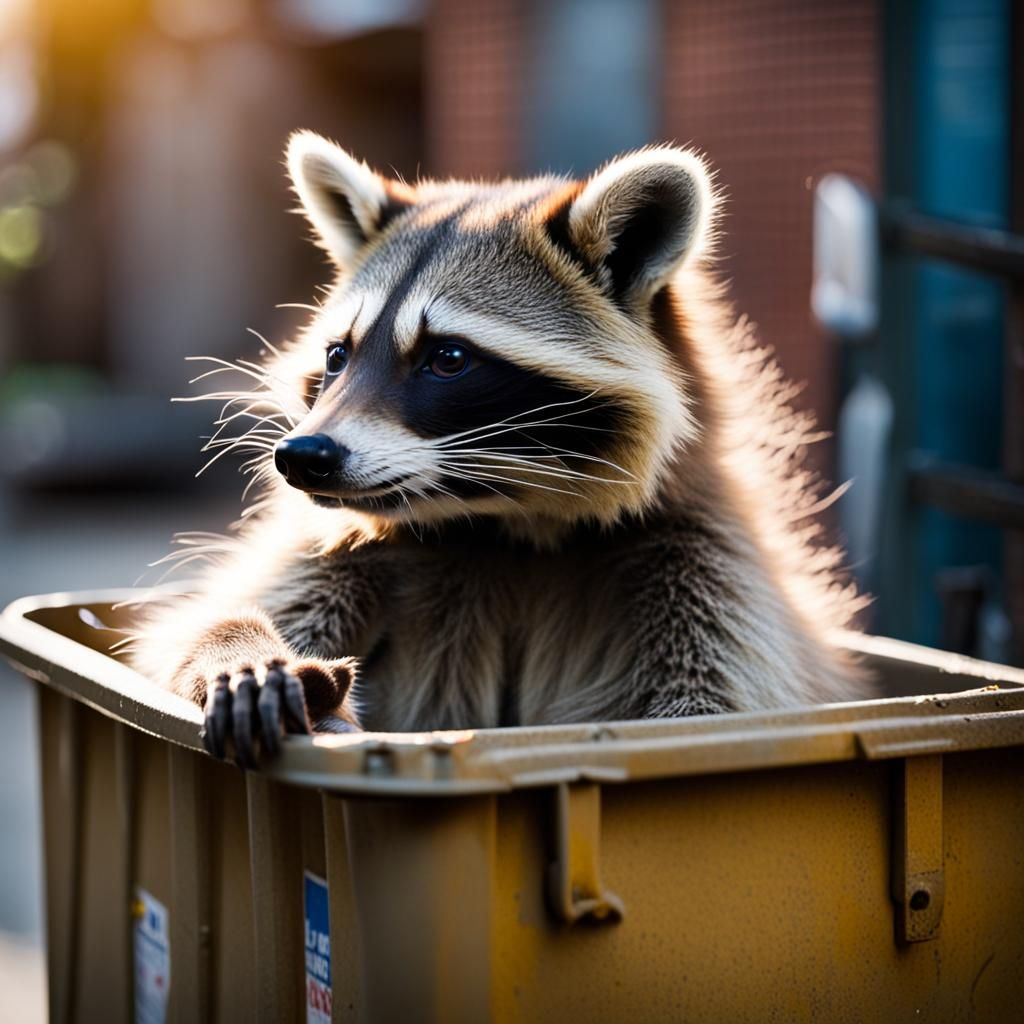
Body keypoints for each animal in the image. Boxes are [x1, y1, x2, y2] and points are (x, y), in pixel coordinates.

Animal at [132, 131, 868, 764]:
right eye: (338, 356)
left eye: (447, 359)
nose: (302, 455)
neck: (503, 520)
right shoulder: (336, 547)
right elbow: (176, 641)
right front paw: (235, 647)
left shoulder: (703, 563)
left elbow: (718, 702)